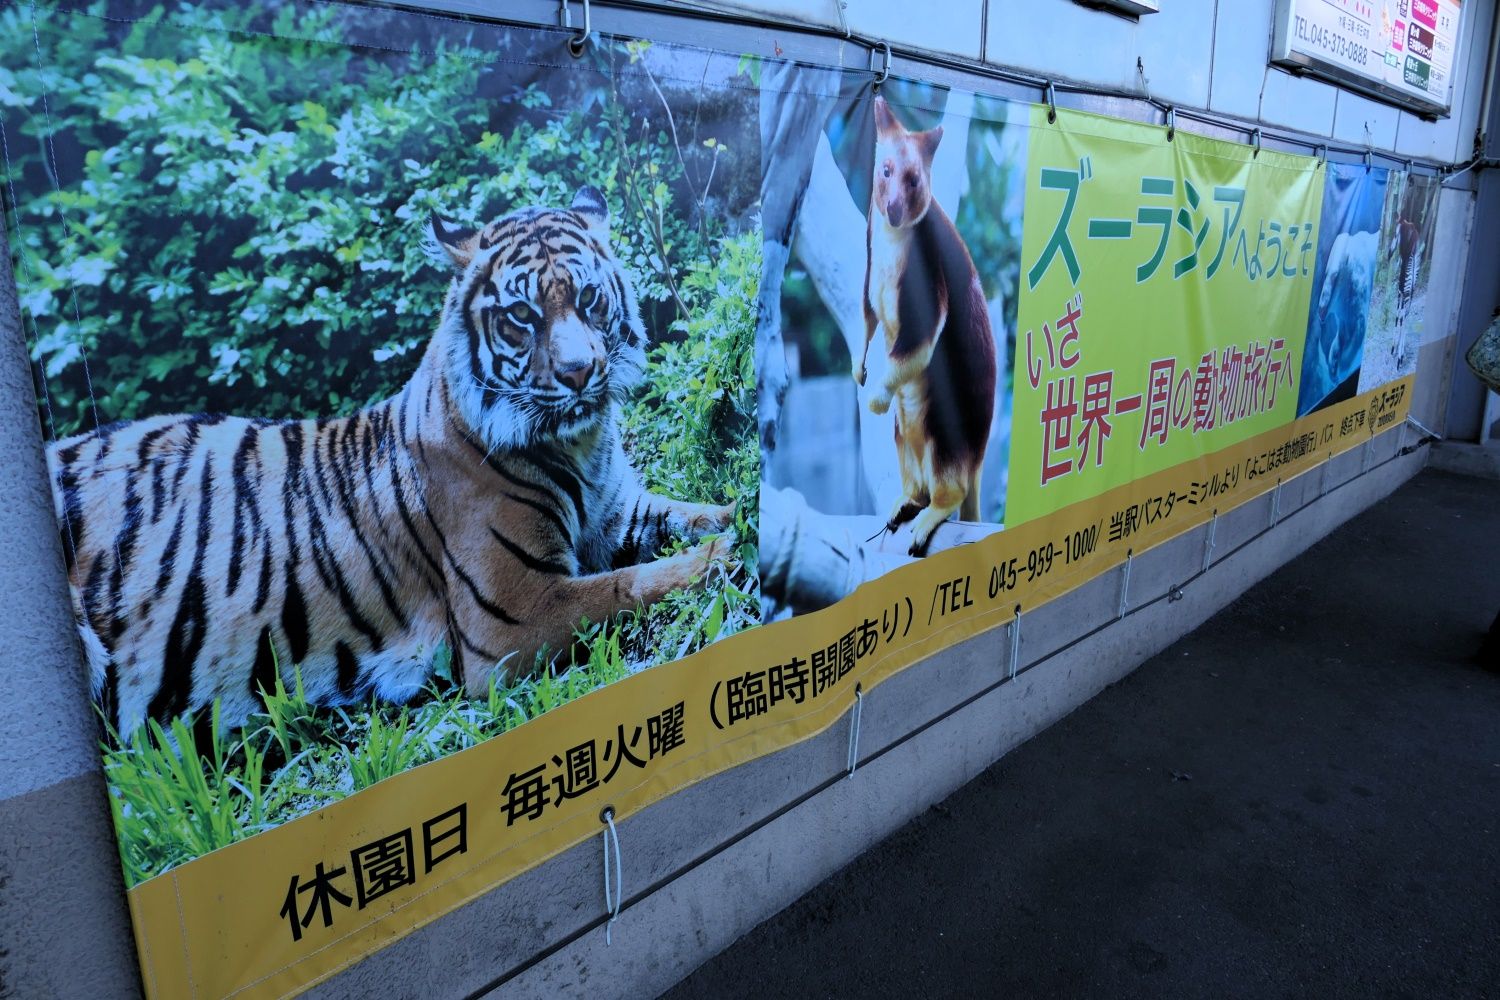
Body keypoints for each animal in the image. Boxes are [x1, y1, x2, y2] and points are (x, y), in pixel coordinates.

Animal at [51, 185, 738, 743]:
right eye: (522, 315)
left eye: (591, 298)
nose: (580, 373)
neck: (580, 443)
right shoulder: (515, 615)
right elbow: (635, 582)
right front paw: (724, 556)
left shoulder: (619, 514)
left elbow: (702, 513)